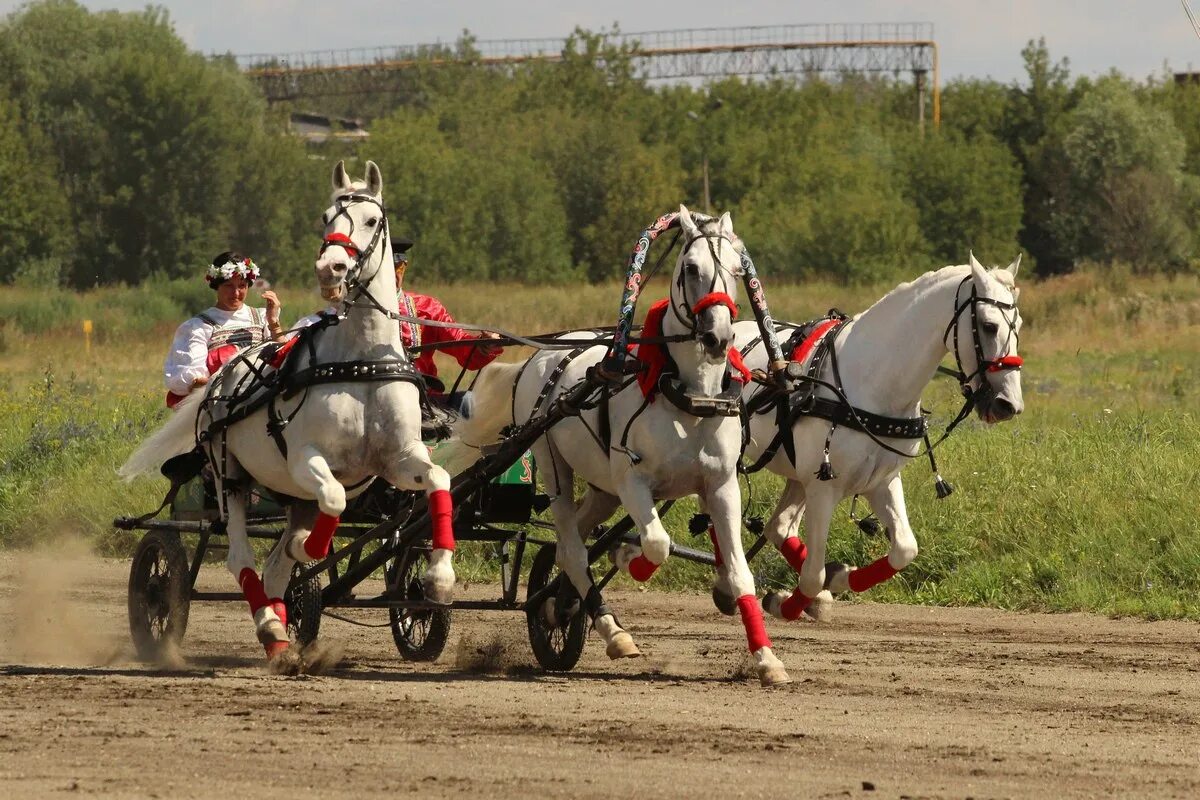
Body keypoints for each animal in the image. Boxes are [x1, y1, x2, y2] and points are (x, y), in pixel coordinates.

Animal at [123, 159, 453, 662]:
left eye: (371, 220)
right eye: (325, 216)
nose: (331, 267)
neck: (359, 364)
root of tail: (221, 378)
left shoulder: (397, 459)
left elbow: (439, 480)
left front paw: (439, 578)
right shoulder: (305, 459)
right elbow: (333, 501)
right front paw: (308, 551)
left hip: (292, 496)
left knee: (276, 566)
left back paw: (278, 630)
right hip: (231, 478)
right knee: (241, 556)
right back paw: (272, 625)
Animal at [724, 256, 1027, 618]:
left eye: (1019, 324)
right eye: (989, 325)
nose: (1009, 404)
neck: (874, 380)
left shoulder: (882, 481)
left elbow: (904, 550)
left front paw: (838, 580)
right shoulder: (823, 488)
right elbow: (812, 576)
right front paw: (798, 598)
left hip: (796, 475)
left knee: (778, 527)